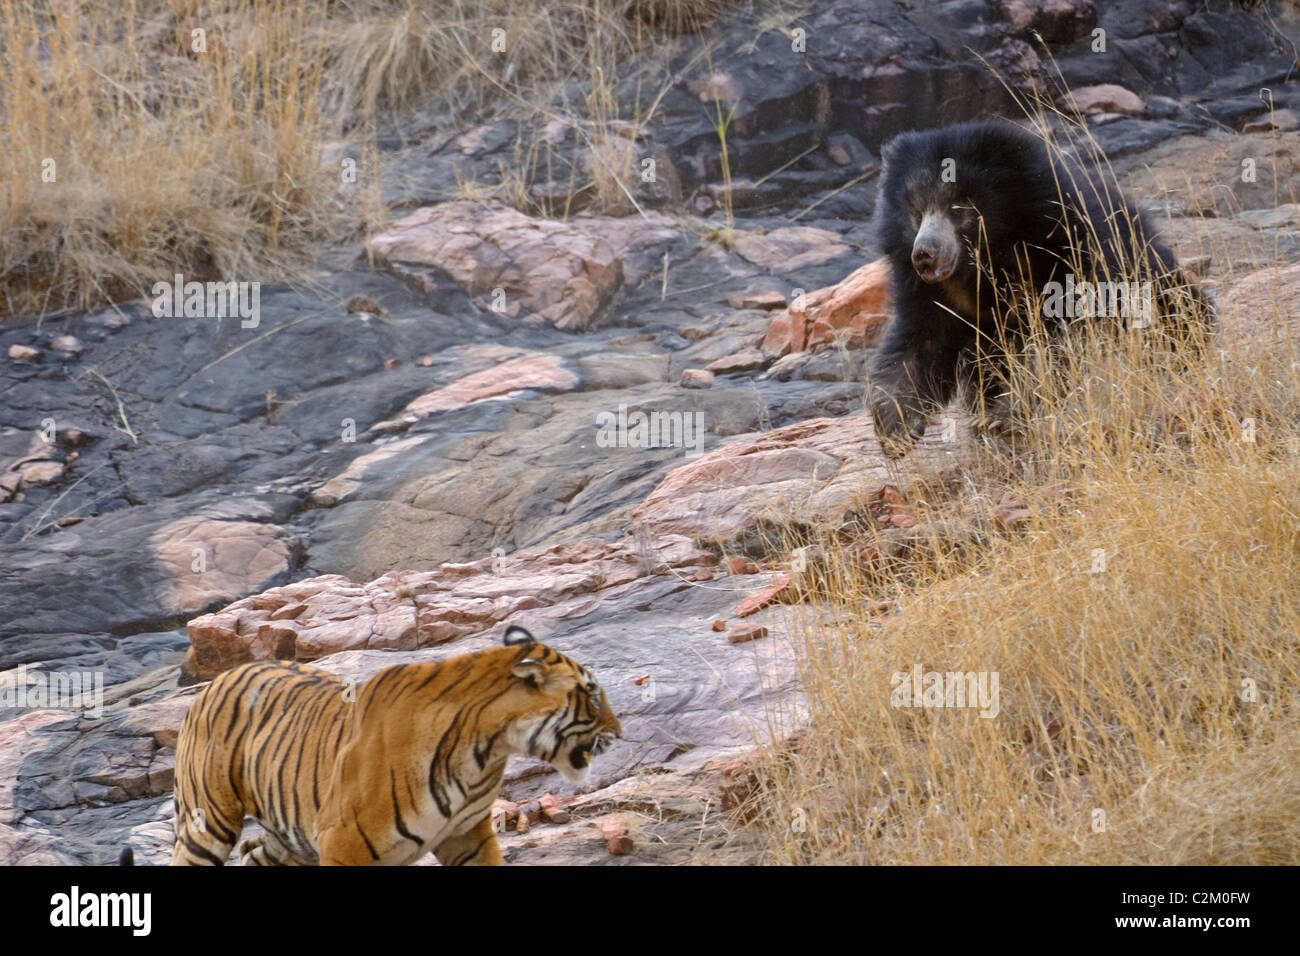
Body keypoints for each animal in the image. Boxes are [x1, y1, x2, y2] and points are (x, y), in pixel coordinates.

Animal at [170, 629, 621, 868]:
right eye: (592, 696)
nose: (619, 731)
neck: (485, 751)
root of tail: (217, 679)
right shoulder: (342, 840)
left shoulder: (467, 834)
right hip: (208, 821)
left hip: (289, 835)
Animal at [868, 119, 1211, 460]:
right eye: (916, 211)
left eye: (958, 209)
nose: (924, 254)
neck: (990, 257)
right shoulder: (931, 292)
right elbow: (919, 344)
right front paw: (895, 428)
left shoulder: (1068, 250)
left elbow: (1059, 339)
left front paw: (1003, 416)